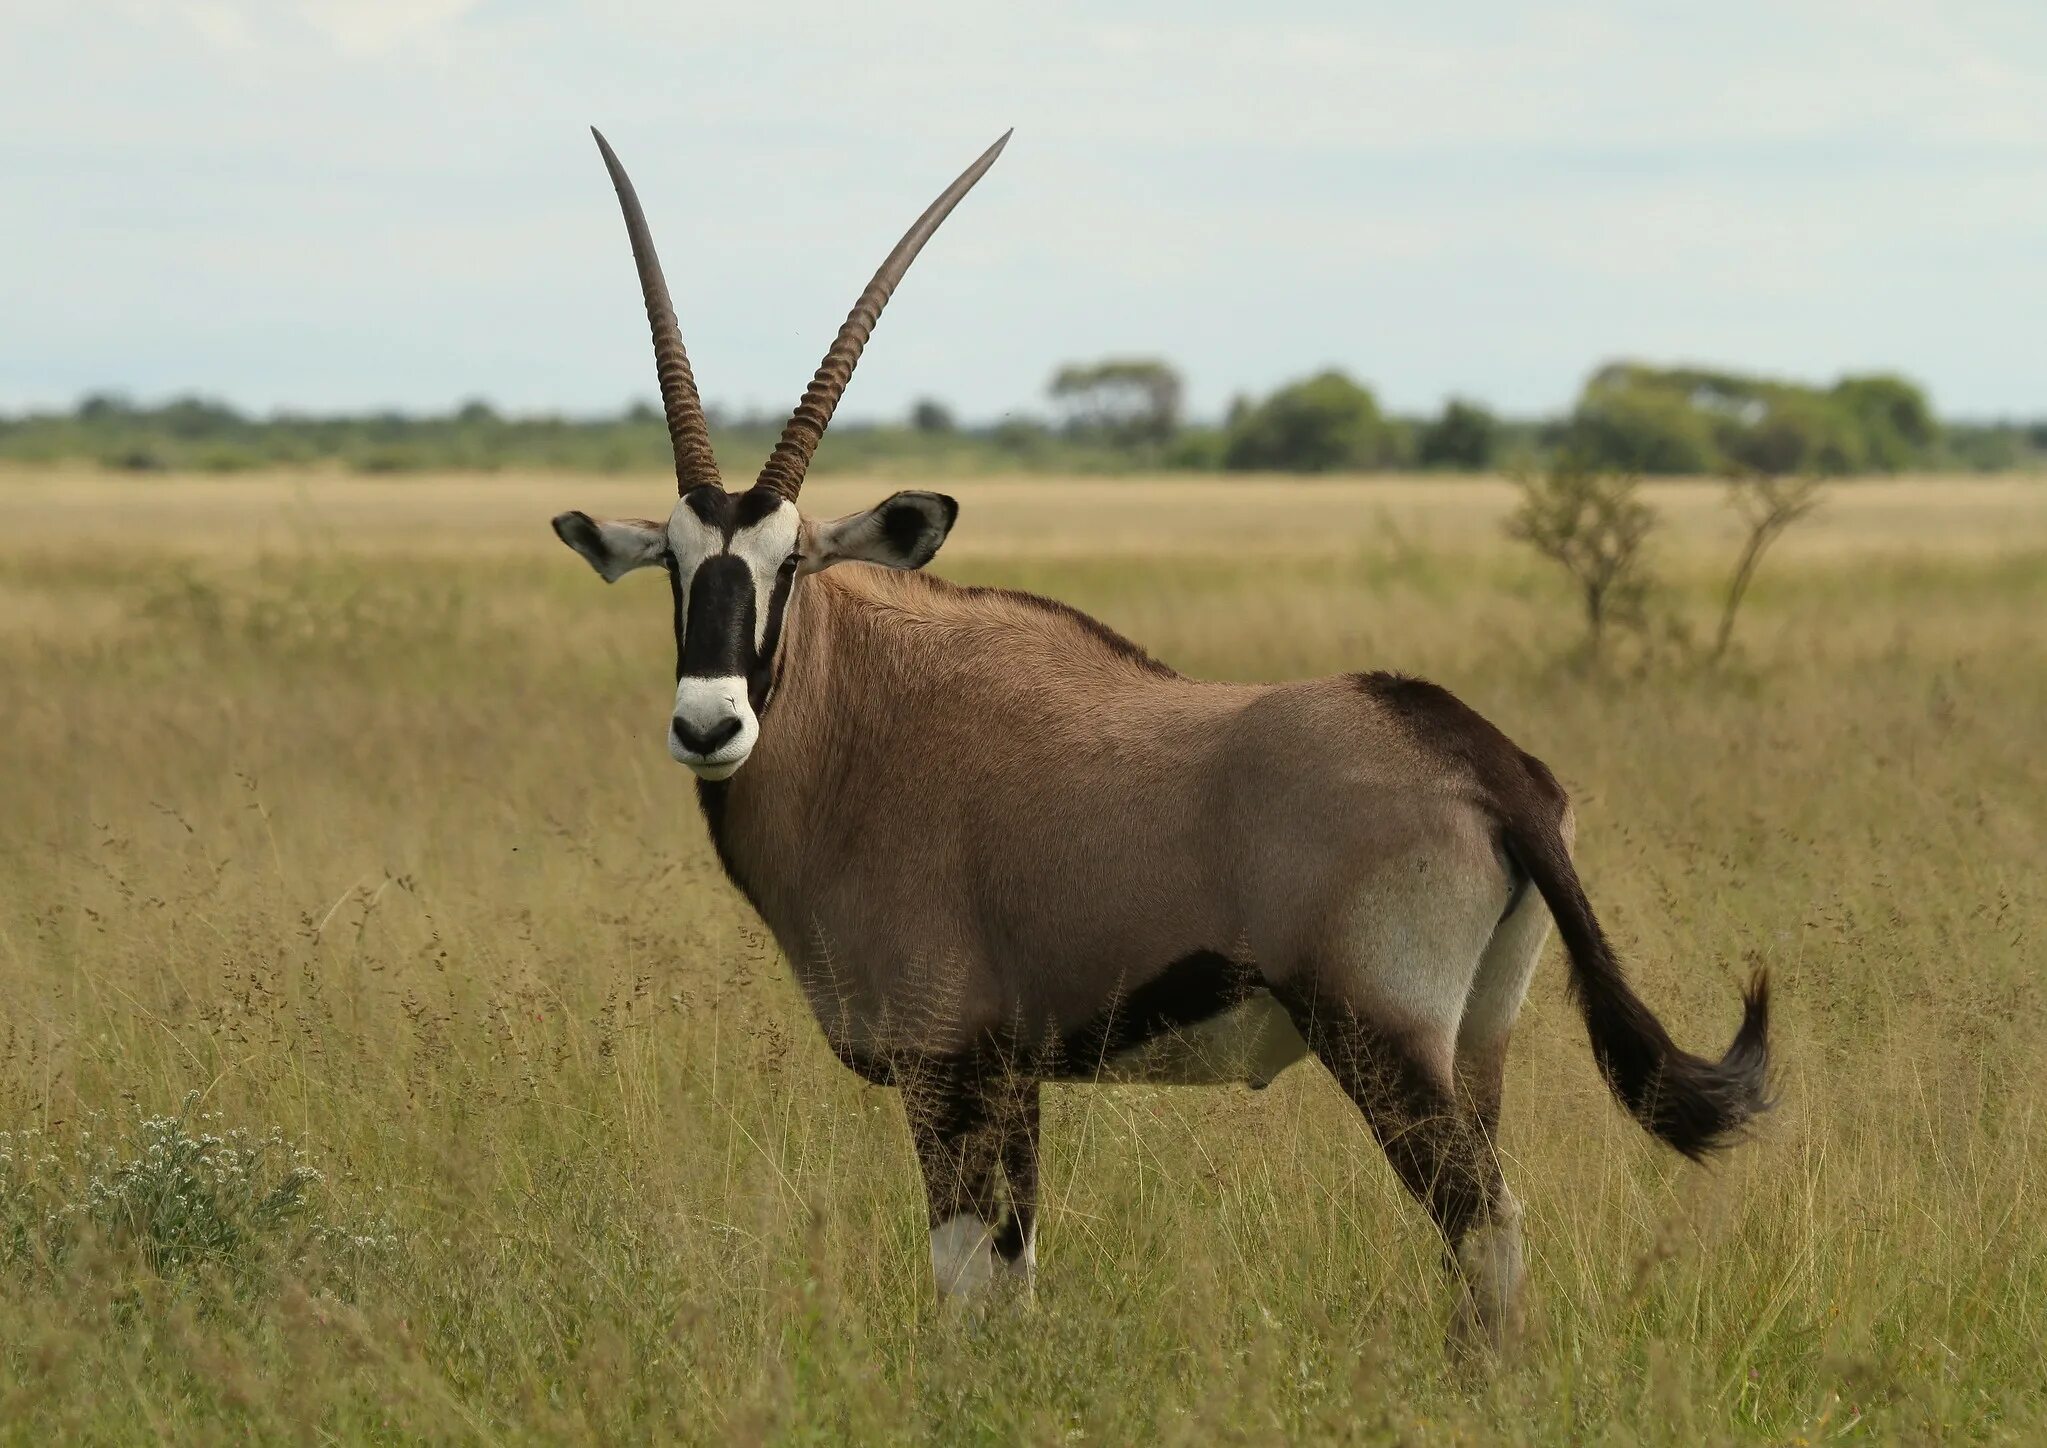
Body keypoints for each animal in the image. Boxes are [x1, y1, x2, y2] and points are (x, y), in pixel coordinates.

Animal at [552, 124, 1768, 1351]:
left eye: (790, 563)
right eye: (671, 562)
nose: (709, 721)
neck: (869, 724)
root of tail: (1487, 763)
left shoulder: (952, 1067)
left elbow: (962, 1276)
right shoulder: (1013, 1075)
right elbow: (1013, 1269)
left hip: (1382, 1041)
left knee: (1481, 1222)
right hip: (1475, 1043)